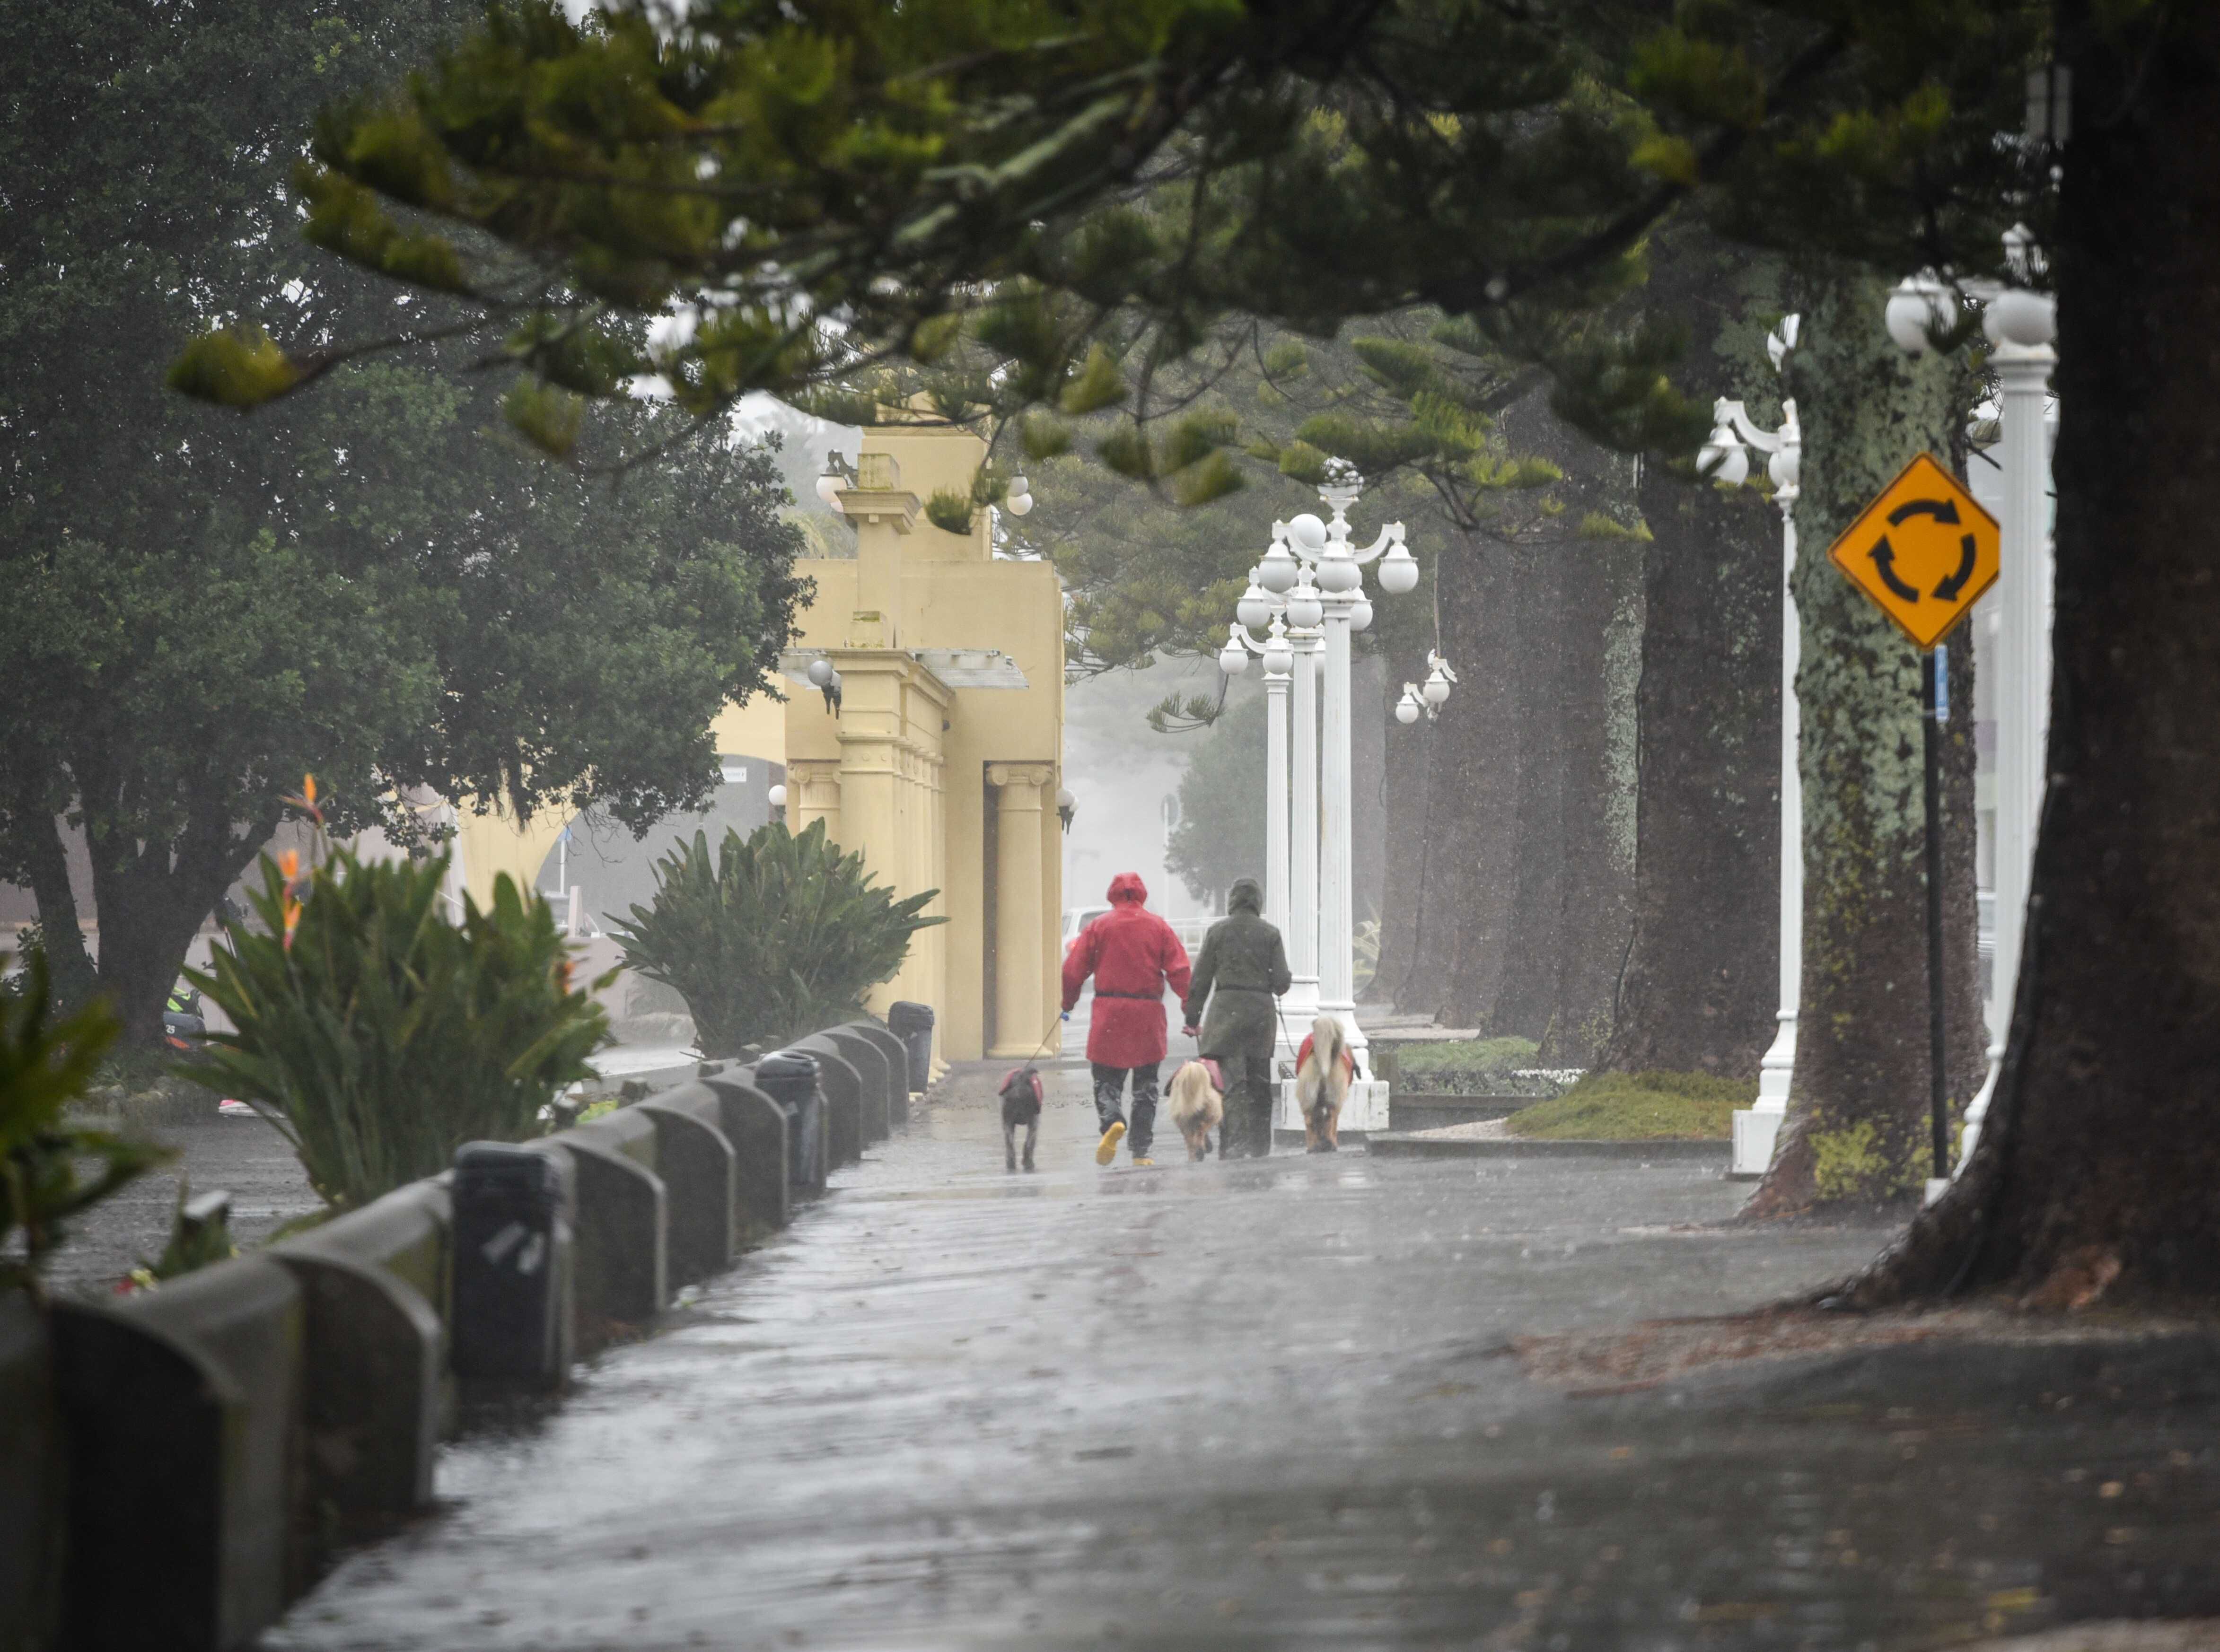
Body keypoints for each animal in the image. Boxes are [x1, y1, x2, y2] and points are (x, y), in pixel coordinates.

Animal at [1003, 1066, 1043, 1172]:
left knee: (1010, 1146)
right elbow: (1030, 1145)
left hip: (1008, 1124)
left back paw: (1011, 1164)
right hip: (1033, 1123)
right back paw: (1028, 1163)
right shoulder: (1035, 1123)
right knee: (1028, 1145)